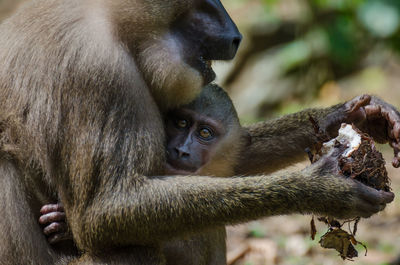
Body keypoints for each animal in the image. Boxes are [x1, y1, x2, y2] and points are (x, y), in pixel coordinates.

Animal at [0, 0, 396, 262]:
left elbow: (236, 156)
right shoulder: (98, 71)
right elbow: (102, 213)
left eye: (202, 133)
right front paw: (324, 189)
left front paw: (356, 116)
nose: (236, 36)